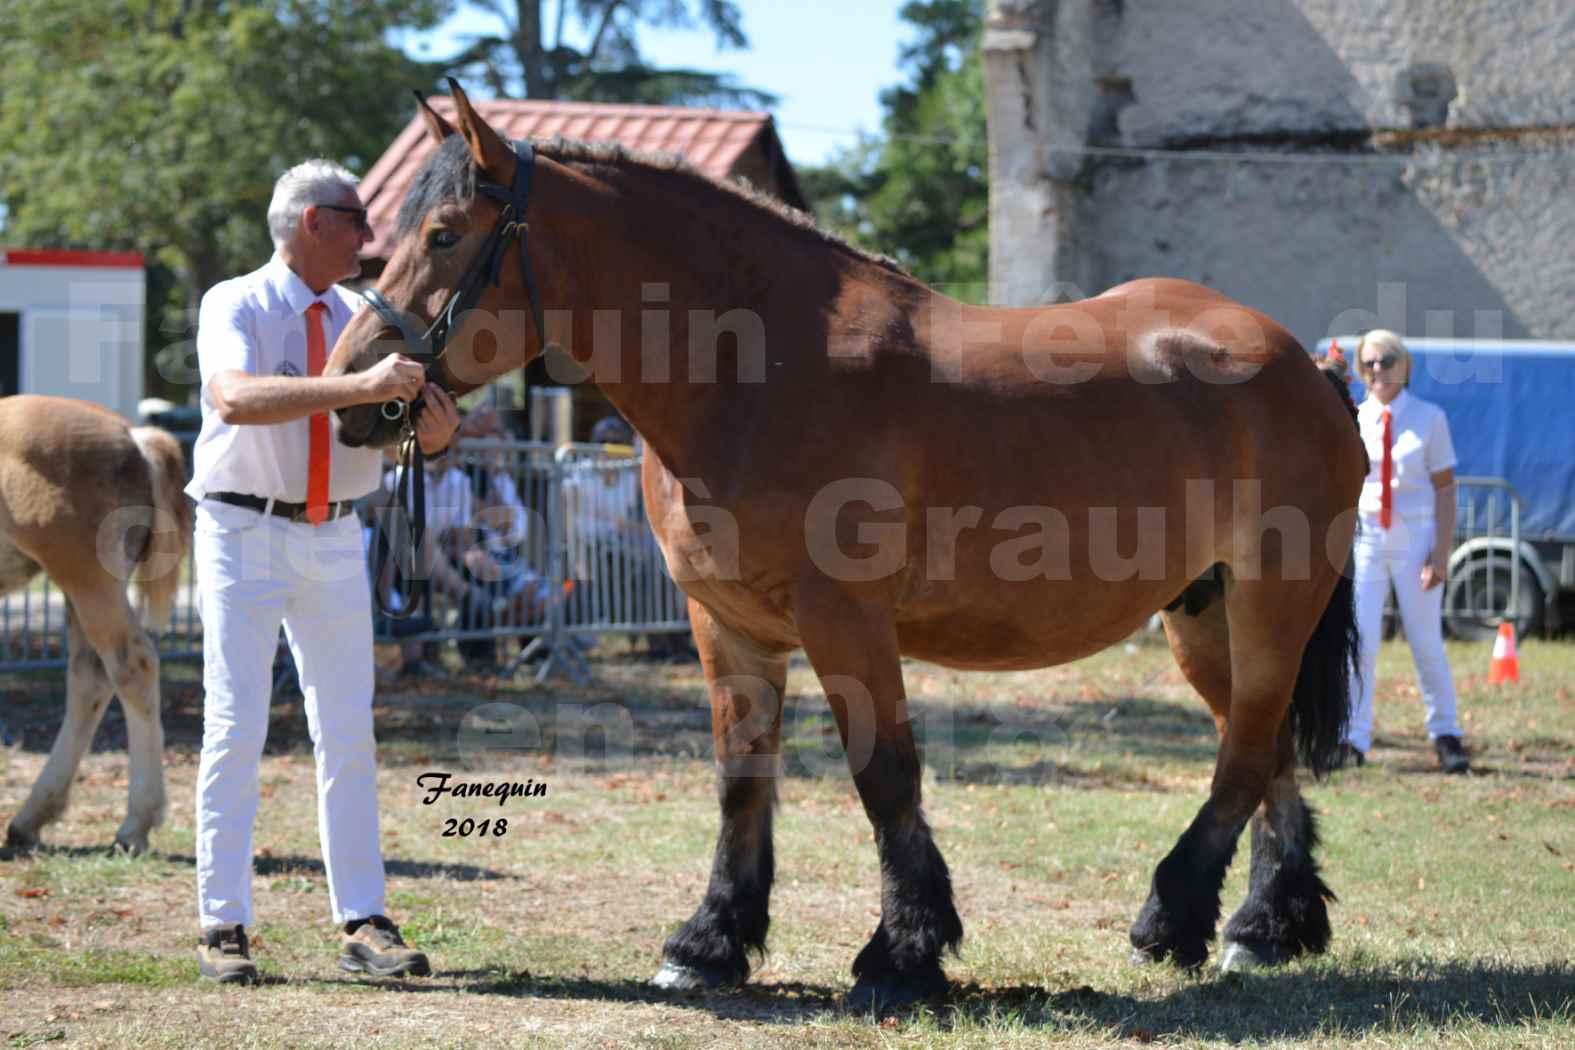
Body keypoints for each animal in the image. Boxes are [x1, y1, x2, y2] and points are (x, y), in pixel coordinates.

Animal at [3, 398, 189, 856]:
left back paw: (135, 824)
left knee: (132, 666)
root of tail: (134, 437)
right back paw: (31, 818)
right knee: (90, 678)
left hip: (86, 580)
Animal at [329, 84, 1367, 1007]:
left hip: (1271, 602)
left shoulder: (845, 621)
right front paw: (709, 943)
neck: (754, 369)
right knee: (1261, 745)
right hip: (1201, 613)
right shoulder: (726, 625)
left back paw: (1177, 917)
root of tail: (1302, 366)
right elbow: (740, 778)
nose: (353, 397)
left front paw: (902, 954)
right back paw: (1263, 927)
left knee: (1245, 752)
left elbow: (884, 776)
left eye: (443, 234)